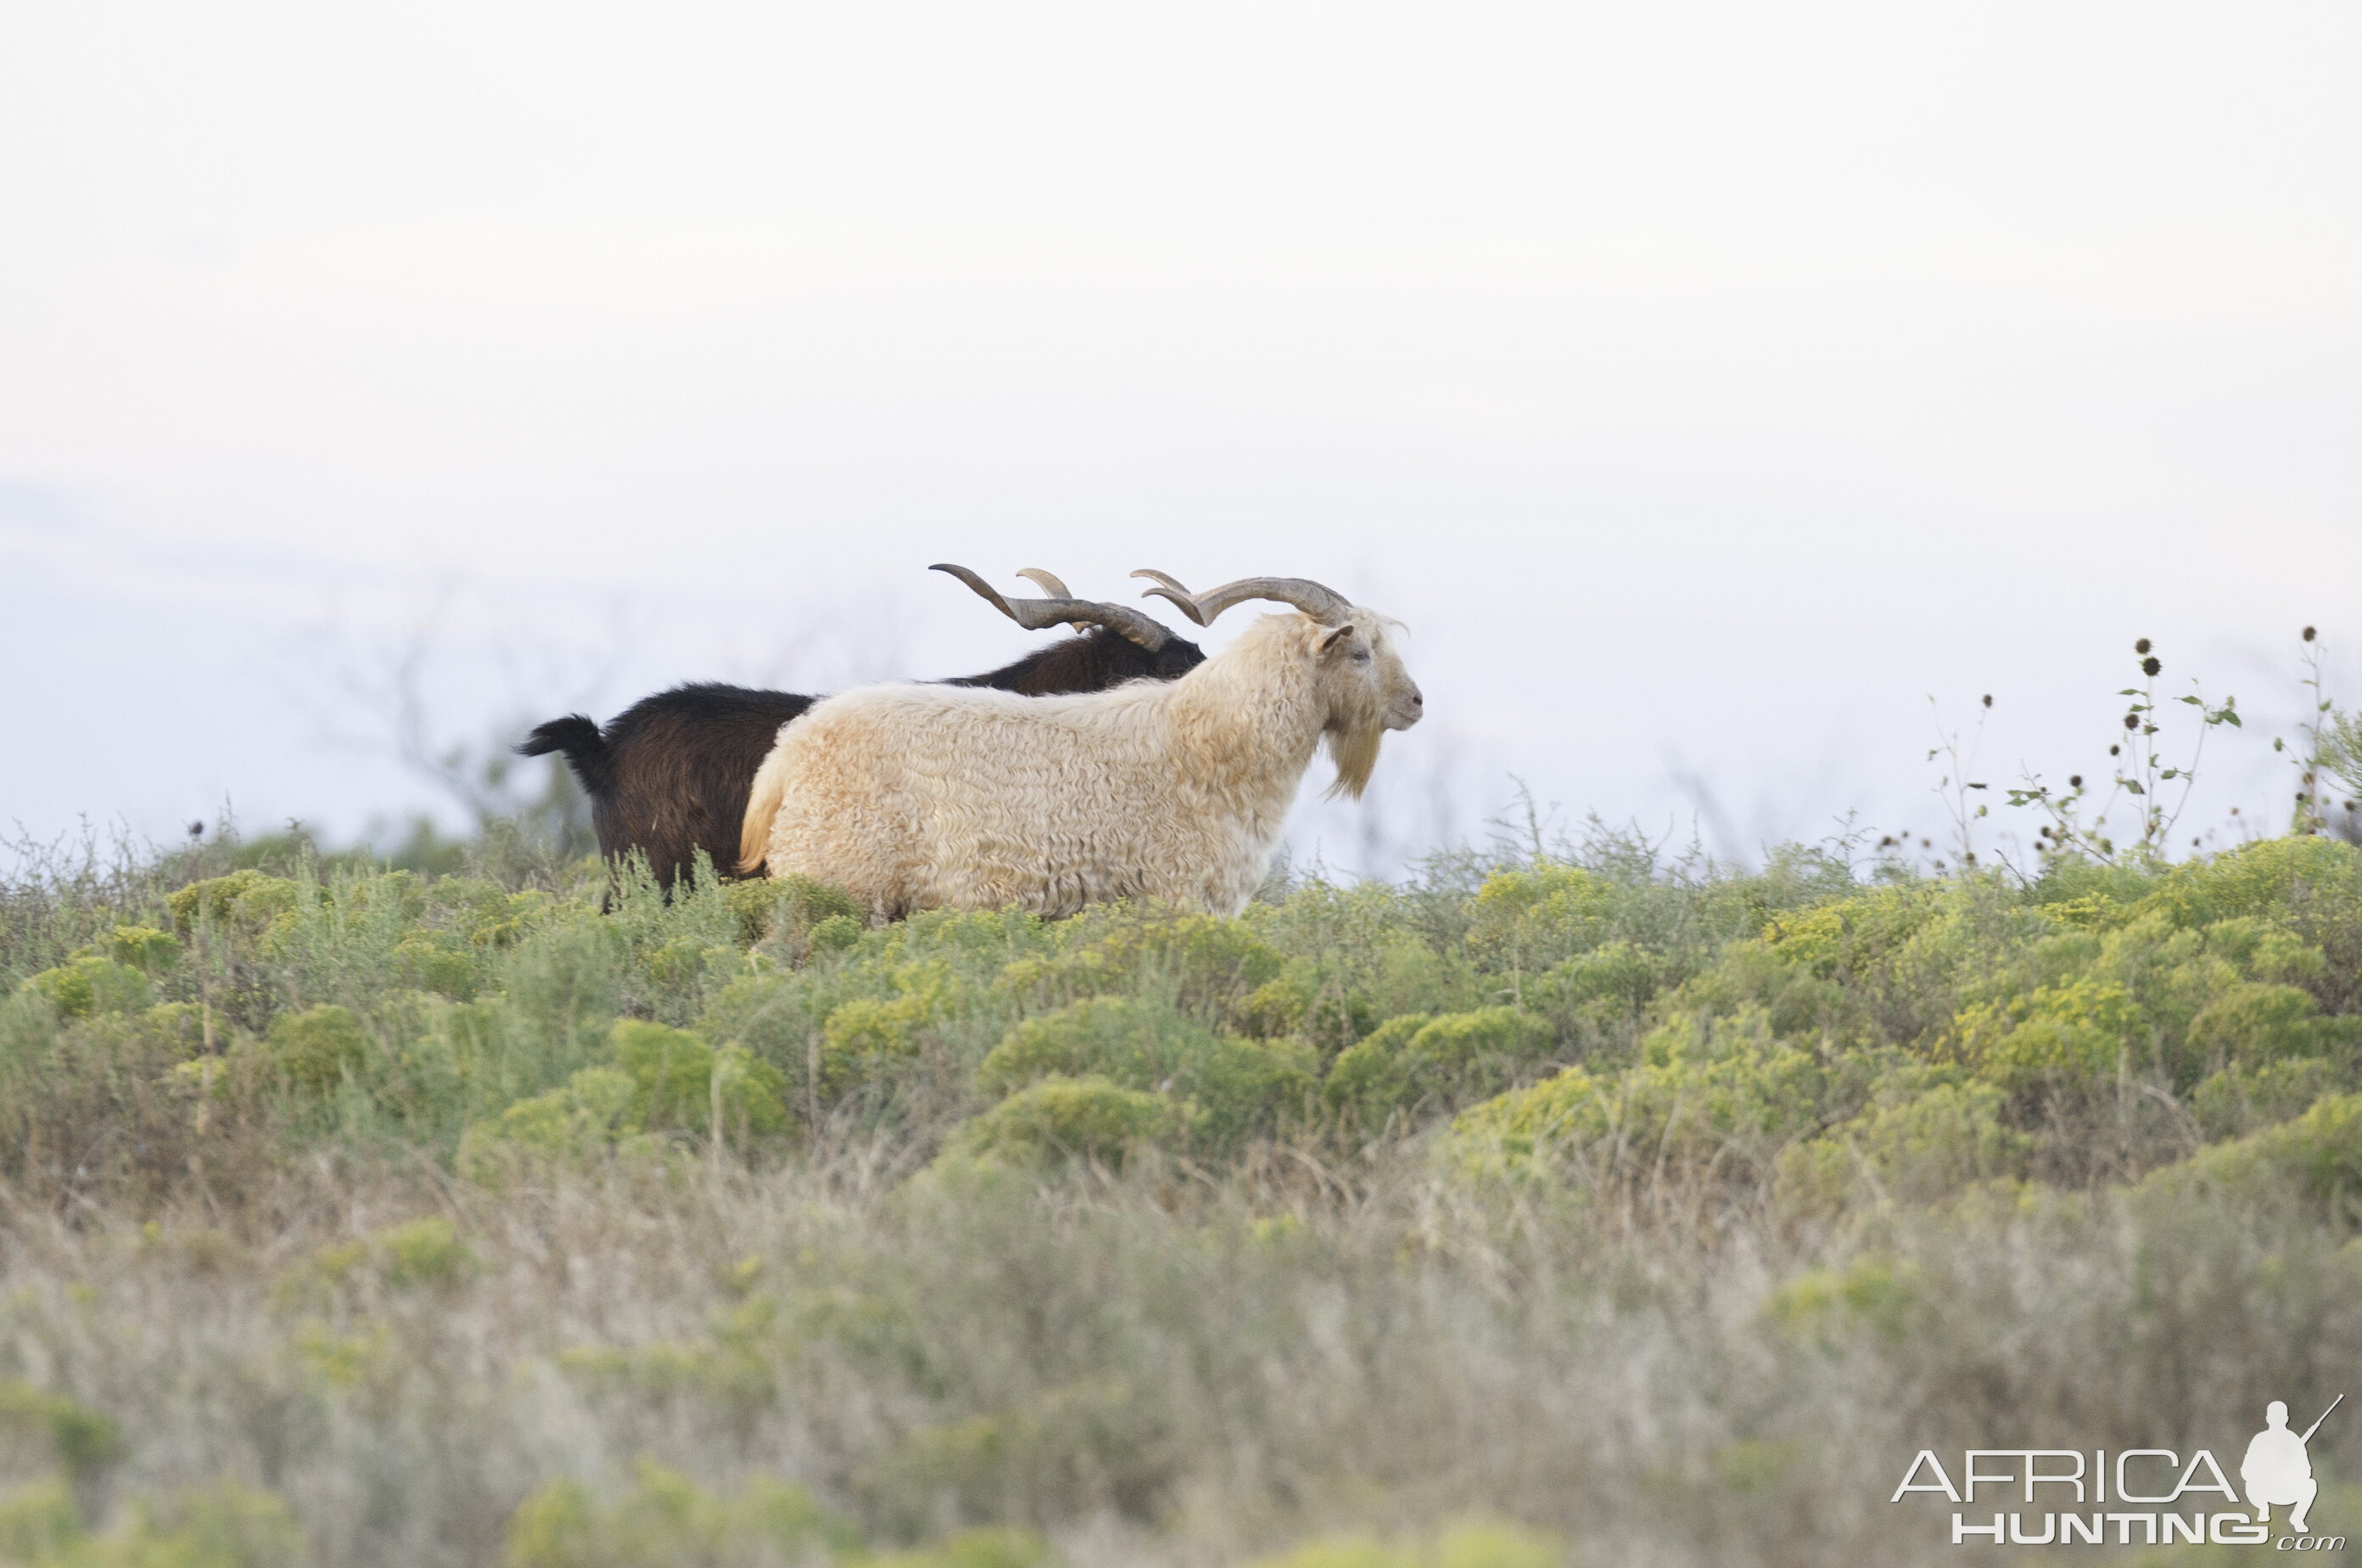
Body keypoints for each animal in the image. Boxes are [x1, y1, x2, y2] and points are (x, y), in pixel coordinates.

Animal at [736, 576, 1417, 921]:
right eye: (1360, 653)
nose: (1415, 703)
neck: (1206, 743)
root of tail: (789, 754)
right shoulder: (1179, 893)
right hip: (837, 884)